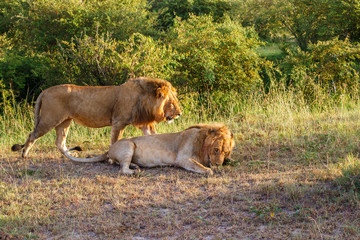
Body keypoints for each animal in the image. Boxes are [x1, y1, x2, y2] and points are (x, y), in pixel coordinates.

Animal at [11, 77, 181, 158]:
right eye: (172, 103)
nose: (179, 113)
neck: (145, 98)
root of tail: (45, 91)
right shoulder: (118, 121)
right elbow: (115, 140)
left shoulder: (143, 123)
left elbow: (154, 136)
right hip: (49, 119)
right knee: (32, 135)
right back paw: (24, 154)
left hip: (64, 121)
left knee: (59, 142)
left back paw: (71, 155)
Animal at [63, 124, 235, 174]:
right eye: (216, 150)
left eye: (226, 151)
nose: (219, 164)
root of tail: (109, 149)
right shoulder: (182, 159)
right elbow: (205, 169)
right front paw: (211, 169)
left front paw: (229, 162)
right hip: (129, 145)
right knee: (122, 169)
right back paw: (134, 172)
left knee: (117, 163)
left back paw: (135, 166)